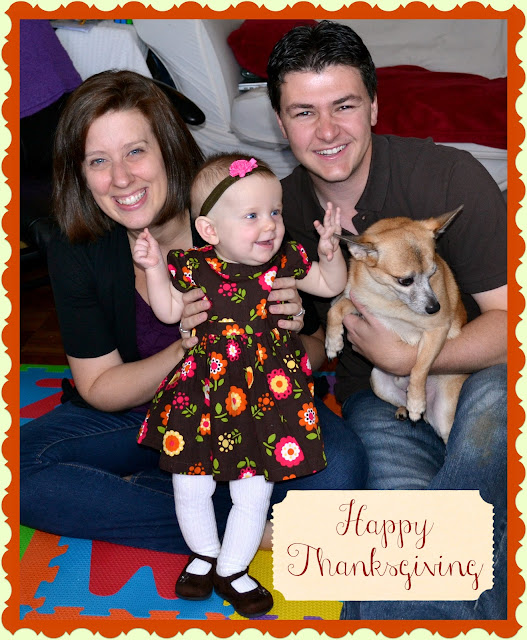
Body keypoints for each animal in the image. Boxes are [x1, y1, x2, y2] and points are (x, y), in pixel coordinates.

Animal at [325, 206, 468, 444]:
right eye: (405, 281)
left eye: (433, 273)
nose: (434, 307)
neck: (389, 298)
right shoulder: (358, 304)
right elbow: (335, 308)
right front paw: (333, 342)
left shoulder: (437, 330)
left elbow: (420, 367)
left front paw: (416, 401)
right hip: (377, 381)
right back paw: (403, 409)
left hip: (446, 416)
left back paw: (416, 407)